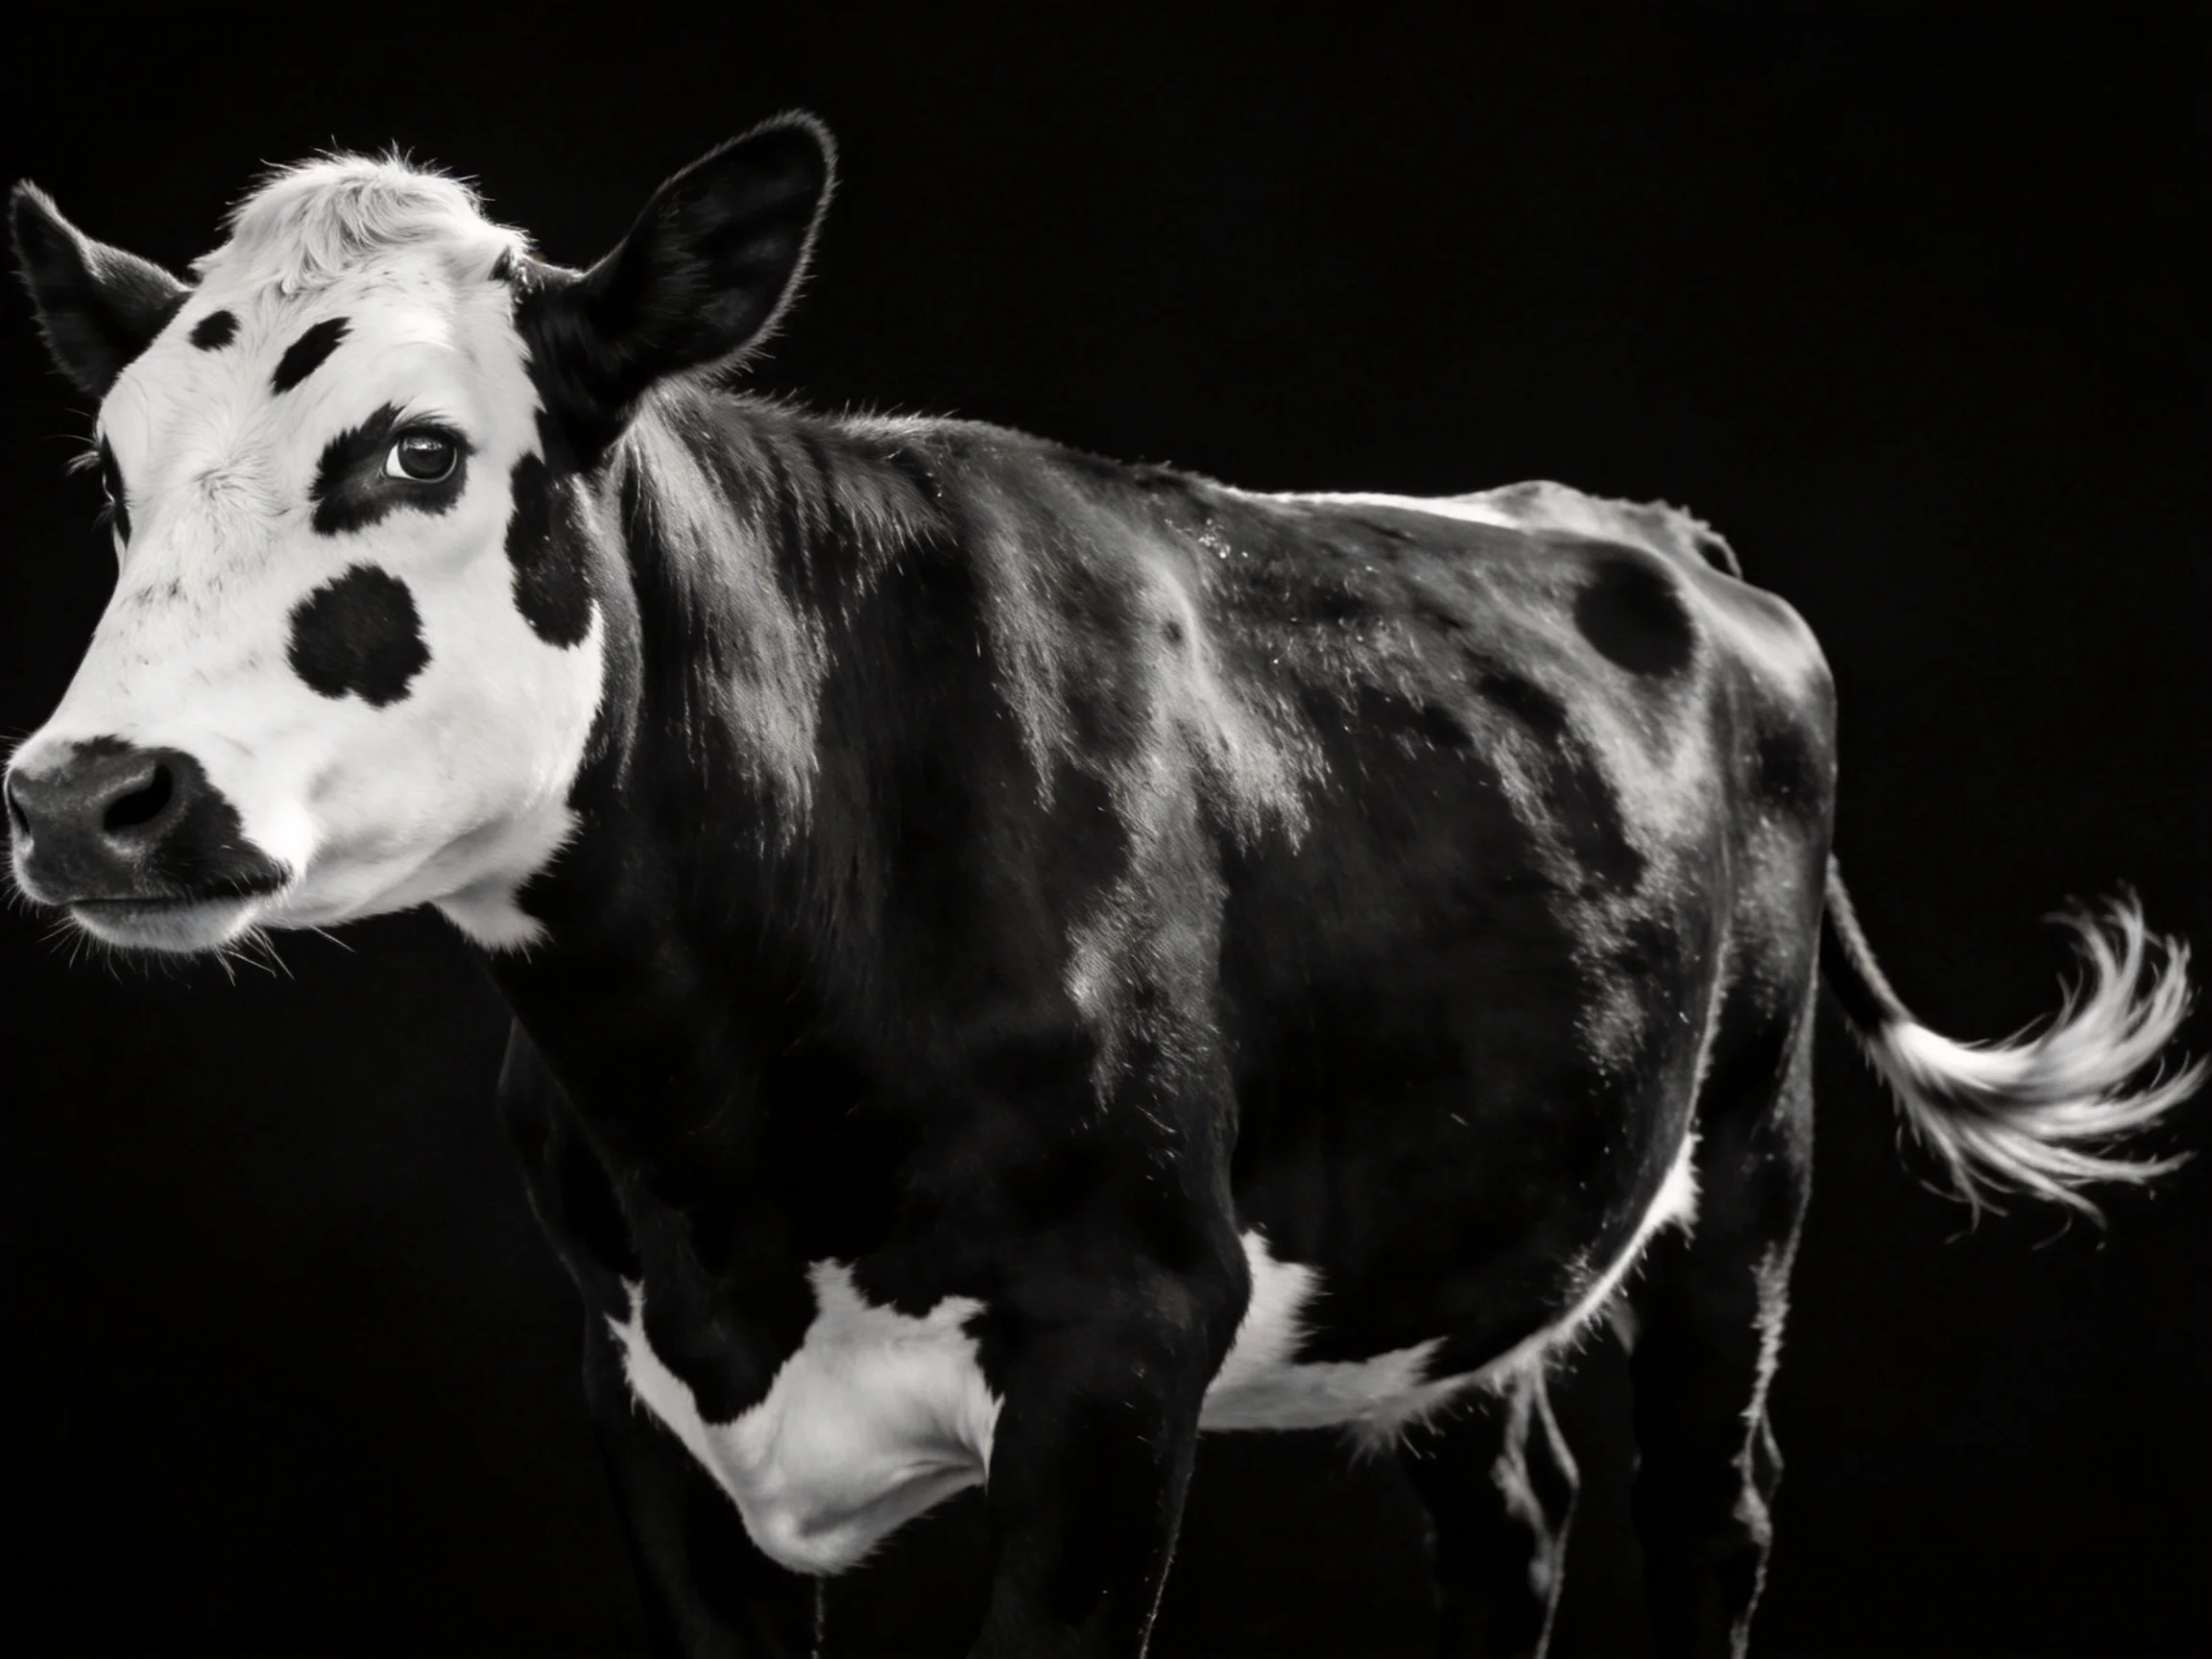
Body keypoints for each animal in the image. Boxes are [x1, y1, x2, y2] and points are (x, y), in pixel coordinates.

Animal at [6, 115, 2197, 1659]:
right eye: (106, 474)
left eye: (416, 453)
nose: (82, 796)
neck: (728, 1144)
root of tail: (1637, 521)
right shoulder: (644, 1409)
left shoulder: (1118, 1357)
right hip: (1468, 1216)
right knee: (1511, 1513)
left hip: (1745, 1160)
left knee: (1707, 1510)